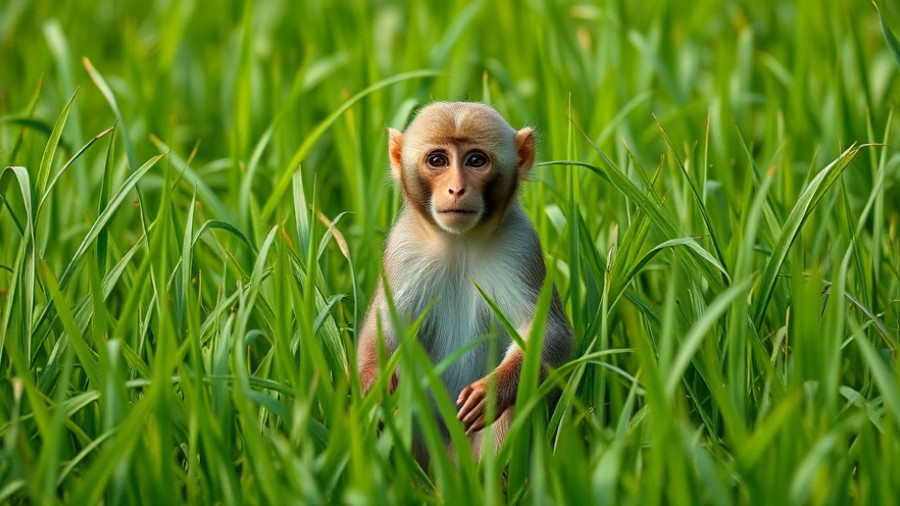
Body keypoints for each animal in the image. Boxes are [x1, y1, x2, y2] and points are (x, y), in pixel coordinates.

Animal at [357, 101, 574, 463]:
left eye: (475, 160)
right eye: (437, 160)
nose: (456, 188)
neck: (459, 243)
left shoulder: (520, 246)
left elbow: (551, 333)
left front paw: (494, 390)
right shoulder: (404, 249)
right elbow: (383, 328)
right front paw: (374, 383)